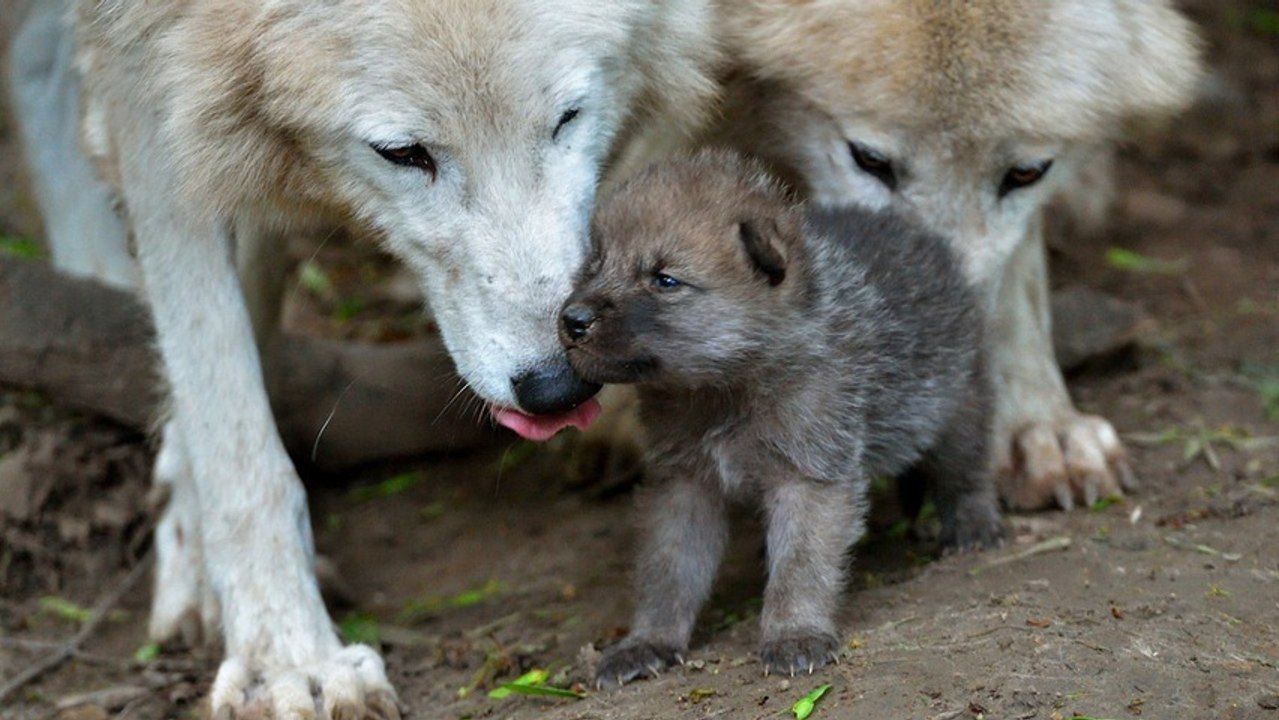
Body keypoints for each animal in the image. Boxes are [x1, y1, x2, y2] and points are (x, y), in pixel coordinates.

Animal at [7, 0, 718, 715]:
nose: (558, 386)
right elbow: (229, 417)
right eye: (402, 153)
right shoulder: (149, 62)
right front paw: (288, 659)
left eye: (567, 116)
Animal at [561, 150, 1004, 686]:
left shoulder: (809, 478)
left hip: (957, 405)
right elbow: (668, 569)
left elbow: (802, 564)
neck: (726, 389)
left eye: (665, 280)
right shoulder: (683, 486)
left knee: (966, 470)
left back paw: (974, 525)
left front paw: (795, 632)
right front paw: (647, 640)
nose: (572, 320)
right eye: (595, 265)